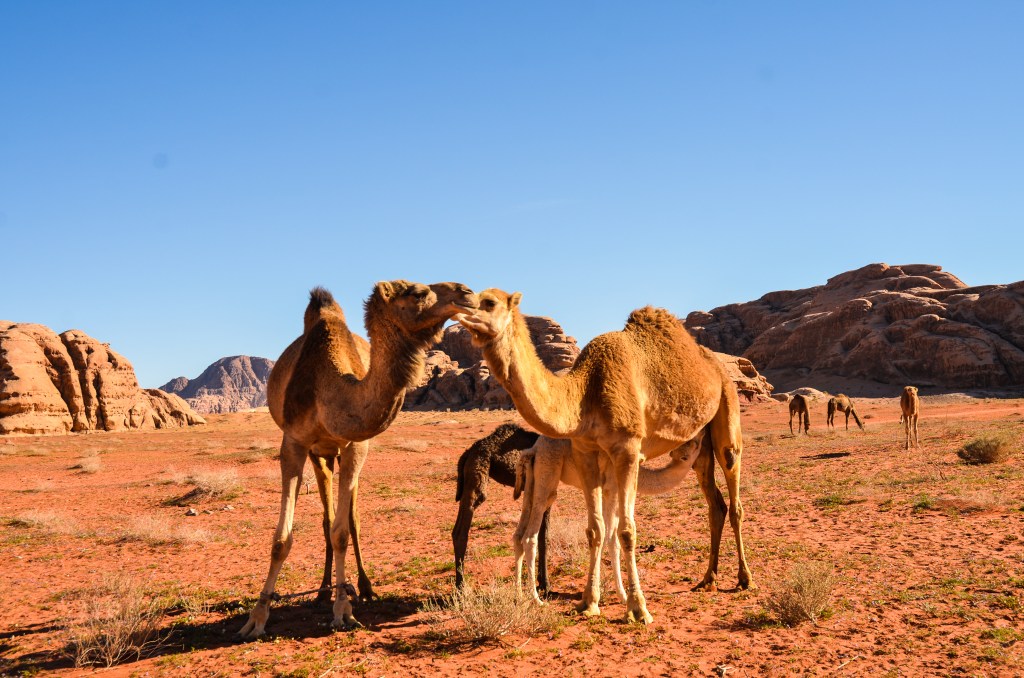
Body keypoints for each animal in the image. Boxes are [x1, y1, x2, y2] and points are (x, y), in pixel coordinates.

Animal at [240, 281, 476, 639]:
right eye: (418, 292)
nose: (467, 293)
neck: (328, 387)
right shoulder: (294, 442)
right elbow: (282, 539)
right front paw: (257, 617)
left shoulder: (356, 445)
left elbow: (343, 531)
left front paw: (343, 610)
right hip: (320, 454)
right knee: (327, 517)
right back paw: (322, 590)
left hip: (341, 453)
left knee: (350, 520)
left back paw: (362, 587)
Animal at [453, 423, 547, 592]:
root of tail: (468, 452)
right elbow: (543, 536)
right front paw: (546, 585)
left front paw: (541, 582)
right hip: (477, 476)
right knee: (461, 532)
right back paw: (461, 589)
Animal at [513, 432, 704, 607]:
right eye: (694, 445)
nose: (701, 437)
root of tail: (533, 449)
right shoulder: (611, 489)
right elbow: (609, 537)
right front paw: (613, 597)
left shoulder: (612, 495)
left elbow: (612, 539)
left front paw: (621, 595)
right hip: (548, 472)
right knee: (529, 536)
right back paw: (536, 599)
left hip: (532, 481)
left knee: (518, 535)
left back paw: (520, 596)